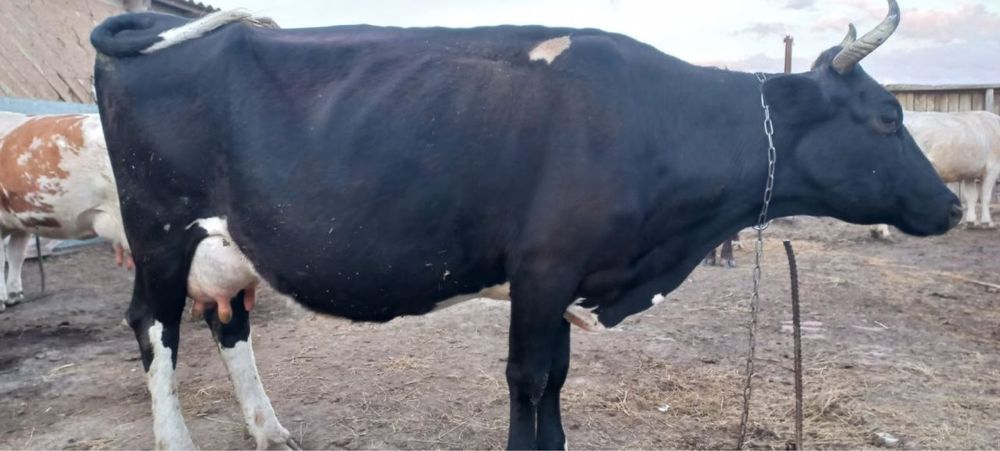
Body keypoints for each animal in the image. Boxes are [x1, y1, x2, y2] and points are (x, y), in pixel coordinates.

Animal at [90, 1, 961, 448]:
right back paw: (179, 440)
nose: (952, 205)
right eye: (888, 119)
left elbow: (558, 379)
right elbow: (529, 378)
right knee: (154, 326)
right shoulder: (542, 269)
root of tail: (165, 14)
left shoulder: (570, 276)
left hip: (222, 243)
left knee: (227, 321)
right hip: (160, 230)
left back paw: (270, 429)